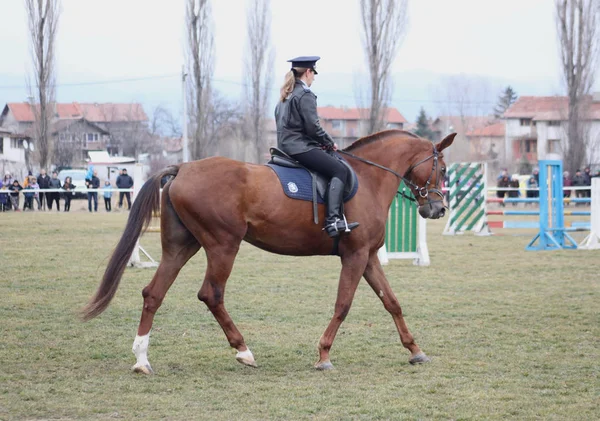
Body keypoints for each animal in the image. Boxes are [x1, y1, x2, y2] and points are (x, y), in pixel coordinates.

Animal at [81, 130, 454, 372]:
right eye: (443, 168)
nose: (438, 209)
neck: (368, 178)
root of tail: (182, 167)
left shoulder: (369, 257)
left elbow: (391, 301)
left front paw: (415, 350)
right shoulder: (355, 256)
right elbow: (343, 304)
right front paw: (323, 356)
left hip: (182, 247)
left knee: (153, 293)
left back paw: (142, 359)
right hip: (222, 245)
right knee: (211, 294)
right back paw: (243, 351)